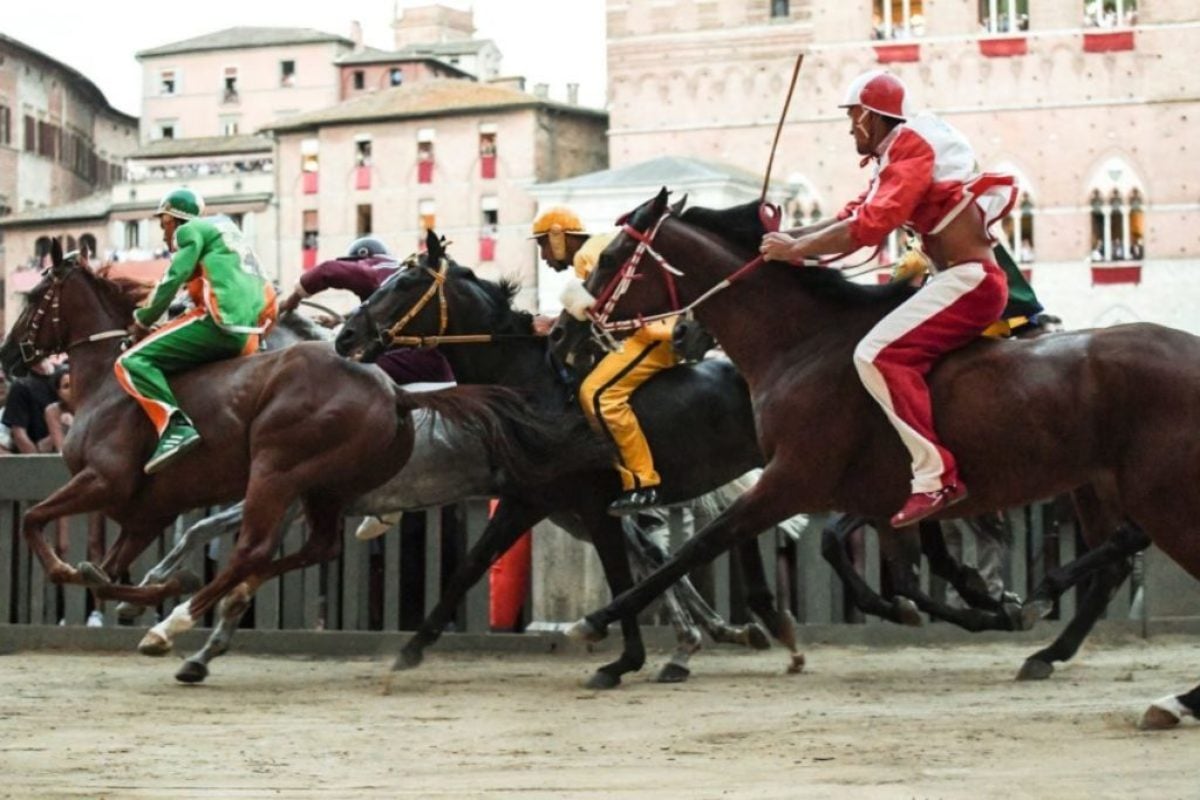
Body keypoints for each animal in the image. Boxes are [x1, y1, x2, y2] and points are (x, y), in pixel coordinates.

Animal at [0, 241, 571, 666]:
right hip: (321, 489)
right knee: (312, 550)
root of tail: (395, 395)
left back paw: (176, 625)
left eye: (33, 298)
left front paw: (158, 593)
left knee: (253, 553)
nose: (8, 357)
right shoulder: (146, 511)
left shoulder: (107, 480)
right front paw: (151, 588)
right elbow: (118, 568)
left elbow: (38, 526)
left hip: (279, 472)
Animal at [566, 190, 1200, 729]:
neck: (803, 344)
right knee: (1115, 557)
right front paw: (980, 605)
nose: (571, 335)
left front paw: (596, 624)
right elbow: (907, 575)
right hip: (1097, 484)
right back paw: (1055, 646)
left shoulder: (793, 479)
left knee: (1128, 550)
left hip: (1159, 493)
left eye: (613, 255)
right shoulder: (883, 500)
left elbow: (701, 544)